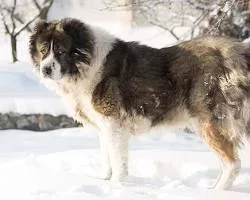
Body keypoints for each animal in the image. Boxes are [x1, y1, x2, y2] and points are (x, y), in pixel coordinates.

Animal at [28, 17, 250, 189]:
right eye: (43, 50)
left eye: (60, 51)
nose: (45, 69)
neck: (86, 63)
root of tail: (236, 53)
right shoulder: (103, 127)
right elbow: (106, 158)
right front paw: (105, 181)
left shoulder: (113, 124)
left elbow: (118, 161)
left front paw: (117, 186)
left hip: (208, 122)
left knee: (232, 164)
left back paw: (215, 192)